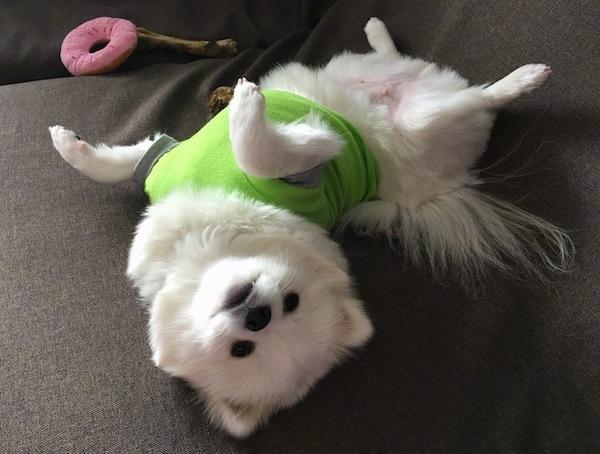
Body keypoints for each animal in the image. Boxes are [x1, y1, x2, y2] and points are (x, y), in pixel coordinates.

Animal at [49, 17, 568, 436]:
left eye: (292, 302)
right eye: (242, 348)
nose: (259, 313)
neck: (212, 224)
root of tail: (443, 186)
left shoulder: (289, 161)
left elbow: (239, 152)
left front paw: (246, 104)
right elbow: (136, 161)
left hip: (414, 110)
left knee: (464, 88)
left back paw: (509, 72)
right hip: (415, 107)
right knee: (450, 84)